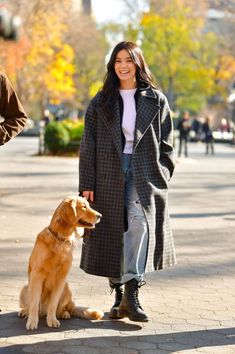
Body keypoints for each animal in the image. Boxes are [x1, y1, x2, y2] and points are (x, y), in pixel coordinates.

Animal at [17, 195, 102, 330]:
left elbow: (53, 303)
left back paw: (64, 313)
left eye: (88, 205)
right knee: (32, 306)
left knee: (67, 308)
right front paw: (32, 322)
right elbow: (34, 303)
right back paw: (25, 311)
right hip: (25, 288)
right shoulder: (37, 275)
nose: (100, 216)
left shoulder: (61, 278)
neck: (60, 238)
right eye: (84, 206)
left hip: (66, 288)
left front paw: (52, 320)